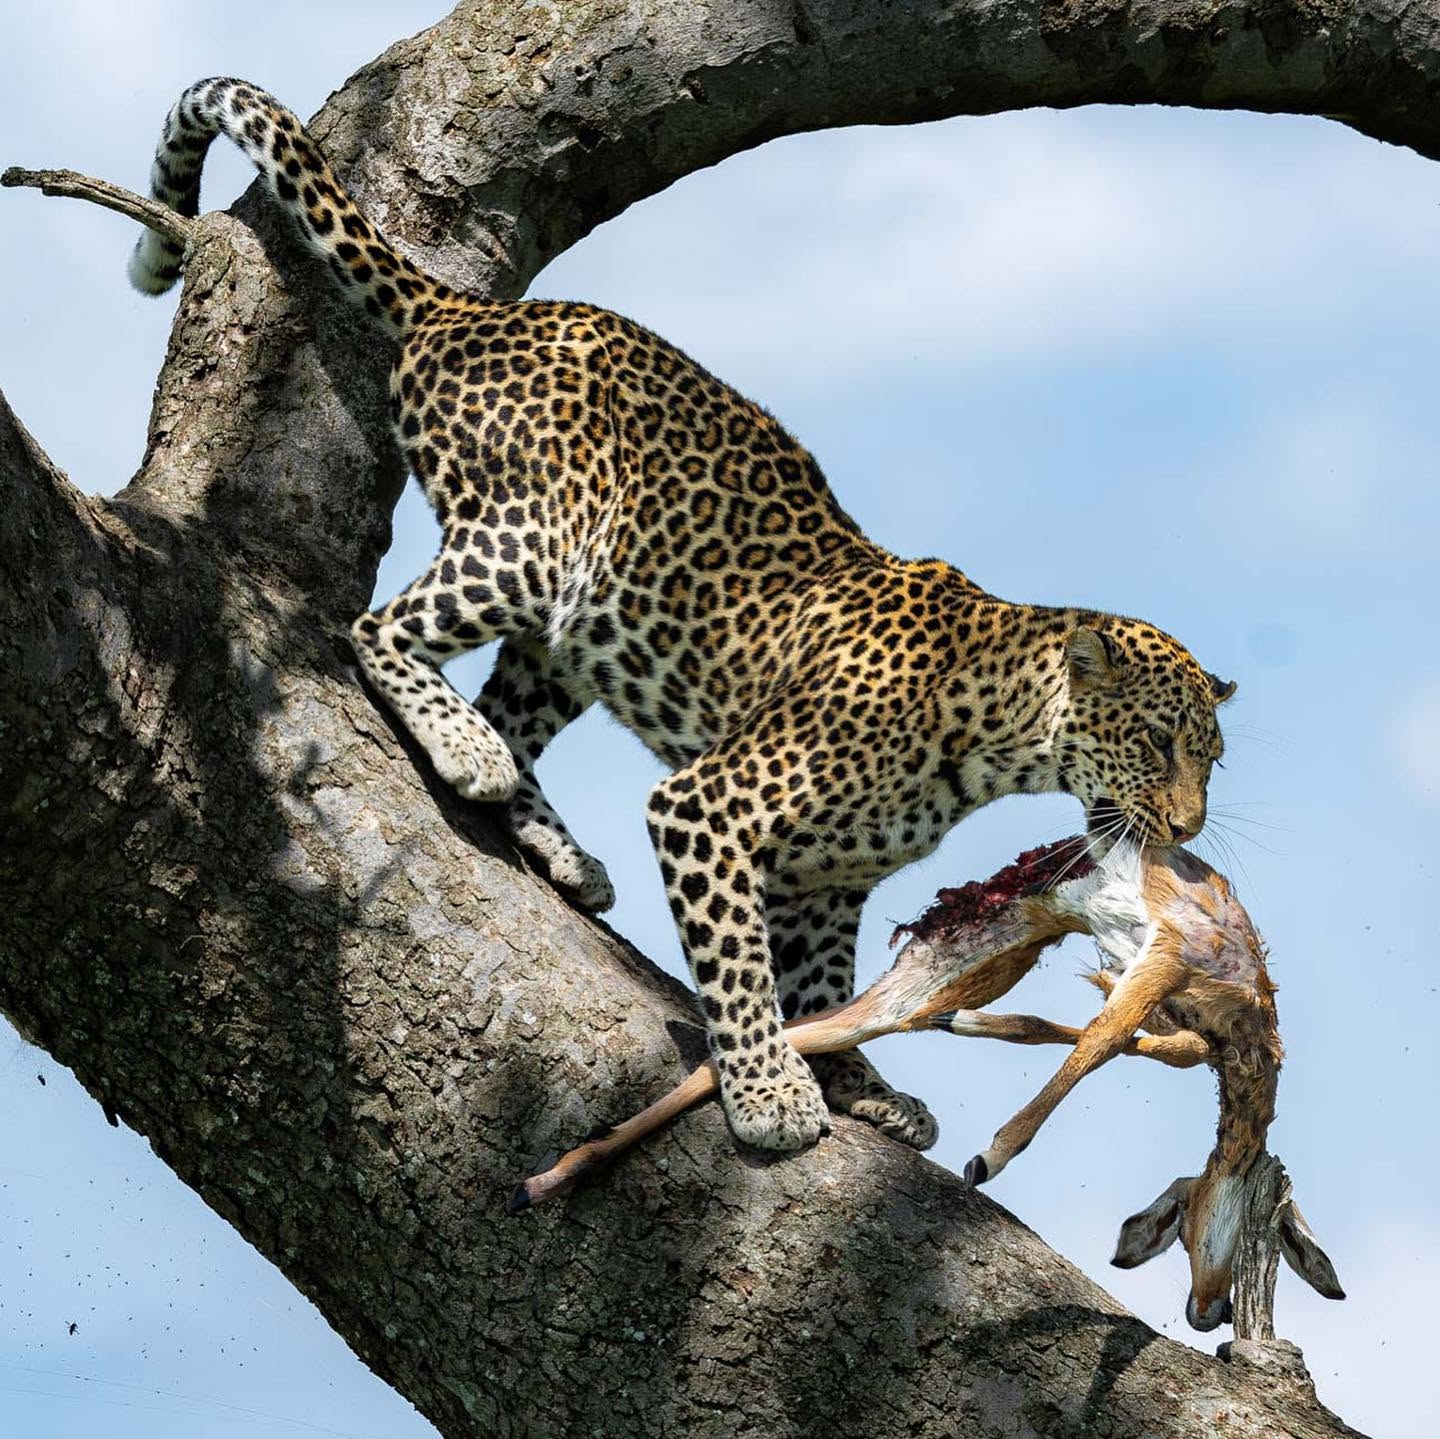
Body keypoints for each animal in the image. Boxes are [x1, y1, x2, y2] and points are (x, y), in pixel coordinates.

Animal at [128, 78, 1237, 1154]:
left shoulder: (824, 885)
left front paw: (863, 1085)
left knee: (514, 710)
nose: (1188, 828)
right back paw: (465, 748)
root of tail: (466, 311)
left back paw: (559, 844)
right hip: (537, 539)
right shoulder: (708, 807)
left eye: (1212, 759)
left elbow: (823, 988)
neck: (993, 740)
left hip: (577, 631)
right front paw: (769, 1091)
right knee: (379, 627)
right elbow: (742, 974)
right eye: (1155, 739)